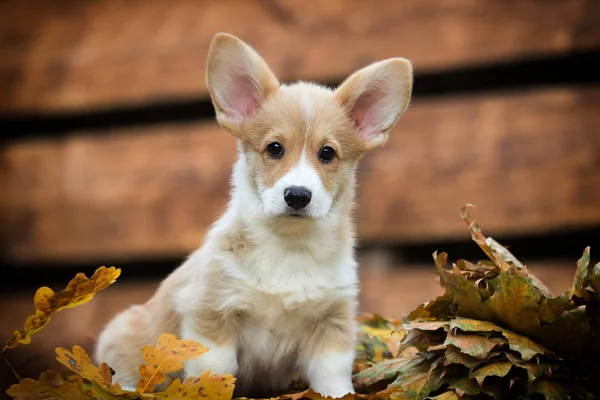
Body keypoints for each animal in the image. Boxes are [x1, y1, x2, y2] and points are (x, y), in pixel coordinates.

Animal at [95, 32, 412, 396]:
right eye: (274, 148)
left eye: (327, 153)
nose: (297, 196)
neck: (289, 247)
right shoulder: (212, 316)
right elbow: (214, 374)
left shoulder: (332, 322)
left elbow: (333, 378)